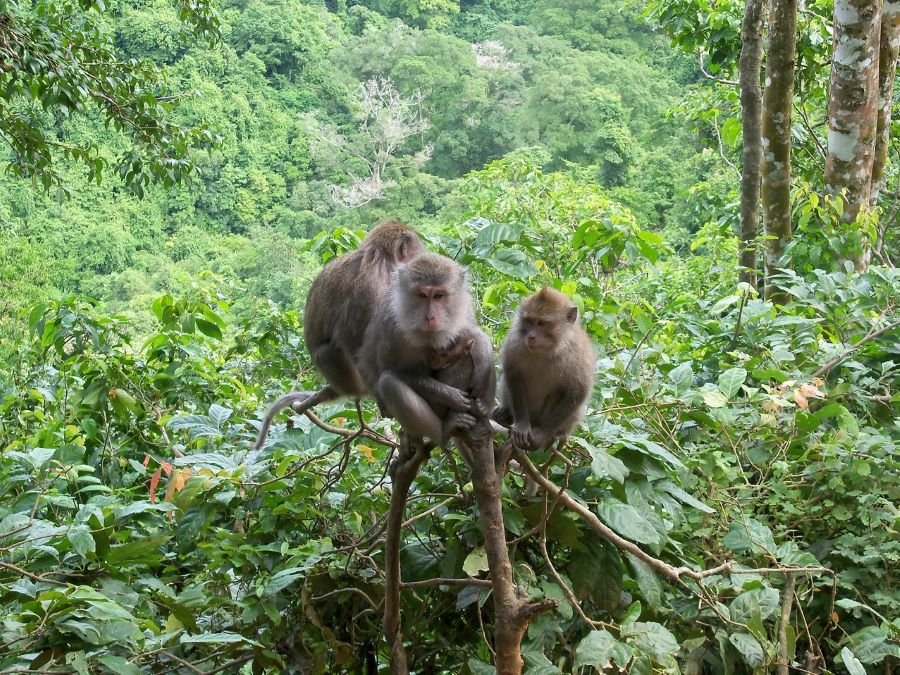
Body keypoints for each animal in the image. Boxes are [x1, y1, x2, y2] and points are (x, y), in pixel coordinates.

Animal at [359, 252, 492, 447]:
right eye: (422, 295)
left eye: (438, 296)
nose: (430, 317)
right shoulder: (390, 325)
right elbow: (389, 370)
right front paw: (451, 396)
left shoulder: (463, 306)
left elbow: (472, 332)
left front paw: (484, 357)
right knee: (388, 382)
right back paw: (445, 430)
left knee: (467, 357)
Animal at [495, 287, 596, 452]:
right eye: (529, 321)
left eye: (542, 323)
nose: (531, 336)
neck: (546, 350)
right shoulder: (514, 342)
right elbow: (513, 374)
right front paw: (522, 426)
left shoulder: (579, 354)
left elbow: (578, 391)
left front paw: (543, 434)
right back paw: (506, 413)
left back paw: (557, 434)